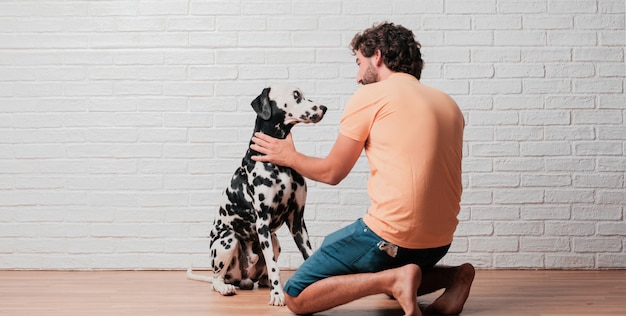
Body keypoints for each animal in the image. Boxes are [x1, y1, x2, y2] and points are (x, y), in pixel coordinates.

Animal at [186, 84, 326, 306]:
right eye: (296, 95)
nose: (324, 108)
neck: (278, 162)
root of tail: (242, 279)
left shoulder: (297, 222)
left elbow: (309, 255)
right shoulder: (263, 223)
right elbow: (273, 266)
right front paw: (277, 296)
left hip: (275, 240)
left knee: (261, 277)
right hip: (228, 240)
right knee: (216, 279)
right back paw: (225, 287)